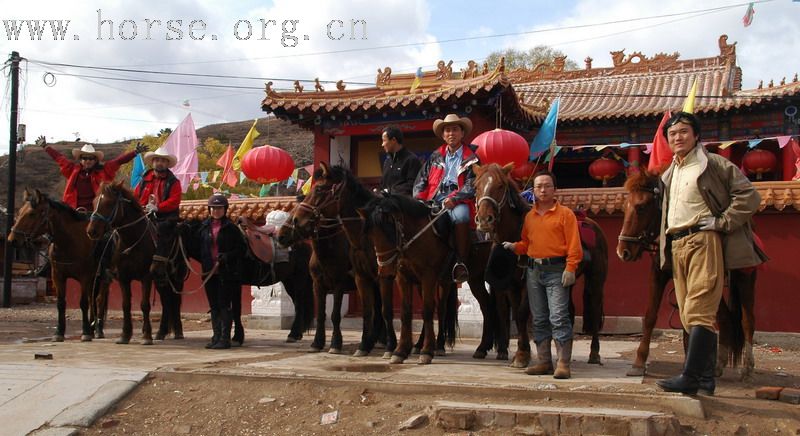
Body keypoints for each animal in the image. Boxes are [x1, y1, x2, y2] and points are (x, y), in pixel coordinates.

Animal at [8, 189, 111, 342]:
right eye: (20, 212)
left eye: (32, 214)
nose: (12, 239)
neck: (69, 242)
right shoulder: (57, 276)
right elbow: (61, 303)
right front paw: (59, 332)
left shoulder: (85, 277)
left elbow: (83, 303)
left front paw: (85, 332)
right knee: (93, 299)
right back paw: (93, 328)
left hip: (102, 278)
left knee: (98, 300)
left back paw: (97, 330)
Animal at [612, 169, 756, 380]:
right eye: (624, 207)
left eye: (641, 207)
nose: (623, 251)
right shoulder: (658, 272)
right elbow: (650, 316)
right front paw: (639, 362)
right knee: (725, 319)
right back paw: (718, 364)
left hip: (745, 277)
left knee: (747, 321)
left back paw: (747, 367)